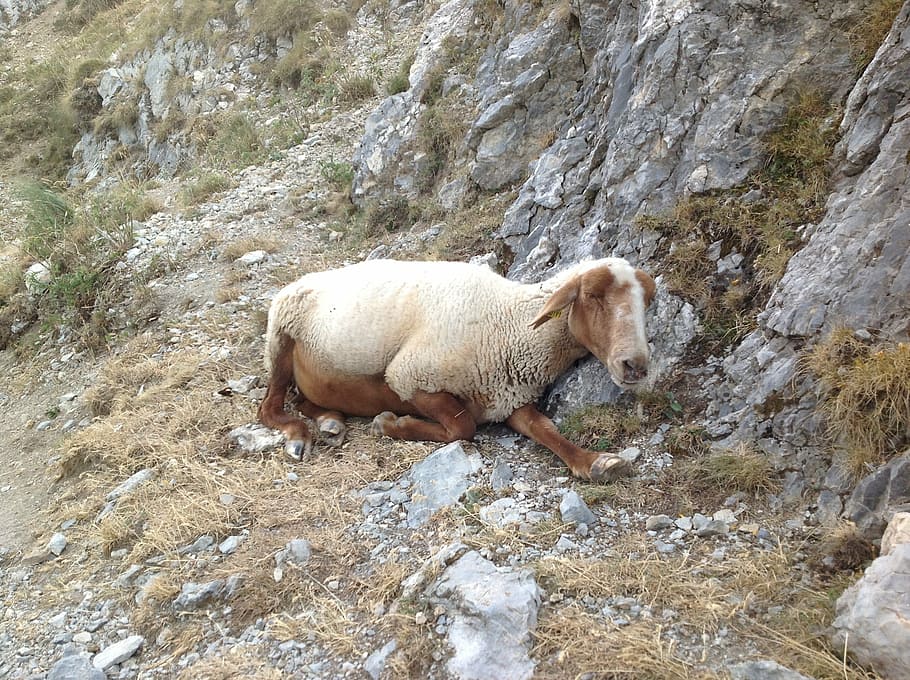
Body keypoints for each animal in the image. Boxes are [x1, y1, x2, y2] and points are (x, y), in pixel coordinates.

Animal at [258, 257, 656, 482]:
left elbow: (545, 429)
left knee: (303, 400)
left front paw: (596, 462)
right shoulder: (409, 377)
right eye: (592, 296)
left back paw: (330, 421)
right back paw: (298, 437)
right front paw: (391, 423)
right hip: (279, 337)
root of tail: (303, 280)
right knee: (269, 406)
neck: (509, 322)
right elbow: (463, 427)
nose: (635, 365)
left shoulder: (508, 397)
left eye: (647, 302)